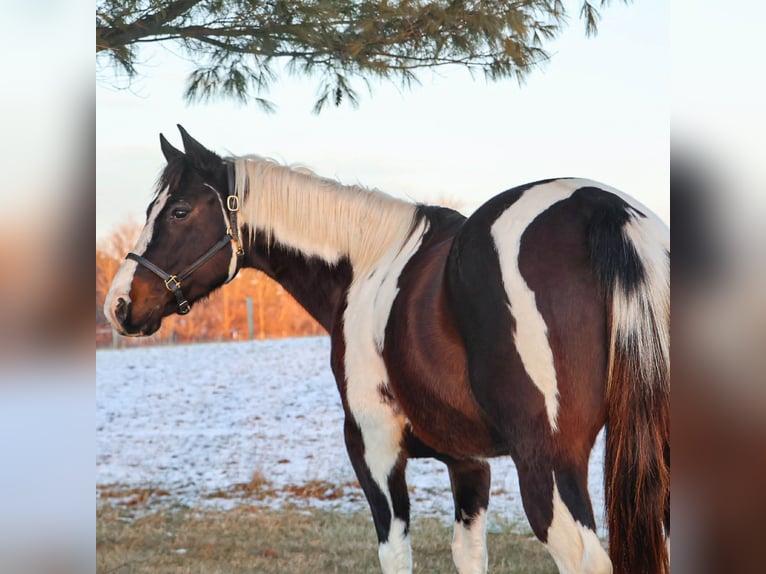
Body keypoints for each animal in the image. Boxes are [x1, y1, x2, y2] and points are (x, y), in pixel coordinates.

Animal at [104, 126, 669, 574]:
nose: (119, 305)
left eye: (179, 211)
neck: (365, 265)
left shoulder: (373, 449)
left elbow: (395, 554)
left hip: (547, 466)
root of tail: (602, 210)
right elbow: (469, 555)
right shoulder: (469, 464)